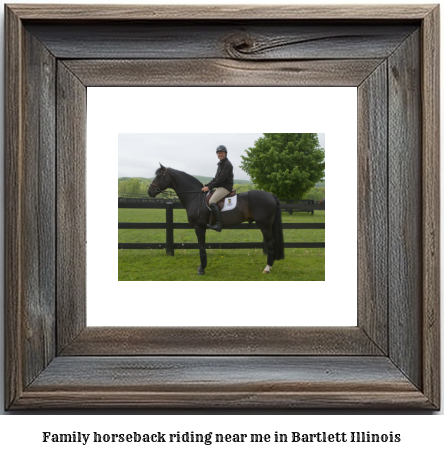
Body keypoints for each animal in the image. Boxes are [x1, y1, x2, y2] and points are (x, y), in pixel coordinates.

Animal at [147, 164, 284, 274]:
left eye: (159, 176)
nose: (149, 192)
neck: (195, 197)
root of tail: (271, 195)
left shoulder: (199, 227)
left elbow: (201, 247)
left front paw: (202, 269)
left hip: (264, 225)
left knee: (271, 243)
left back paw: (267, 268)